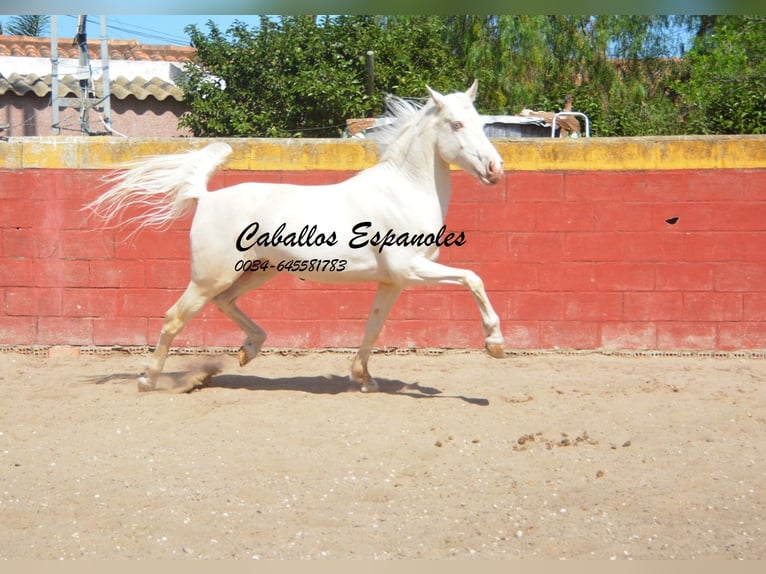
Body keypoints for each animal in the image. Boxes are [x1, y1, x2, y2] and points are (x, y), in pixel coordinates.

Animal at [87, 81, 508, 394]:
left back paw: (248, 350)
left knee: (226, 302)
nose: (495, 169)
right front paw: (495, 344)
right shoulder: (411, 269)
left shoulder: (393, 281)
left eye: (481, 124)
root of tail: (205, 196)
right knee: (175, 317)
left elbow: (373, 326)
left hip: (258, 271)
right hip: (211, 277)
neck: (403, 191)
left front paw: (364, 378)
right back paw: (148, 380)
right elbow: (474, 278)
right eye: (456, 124)